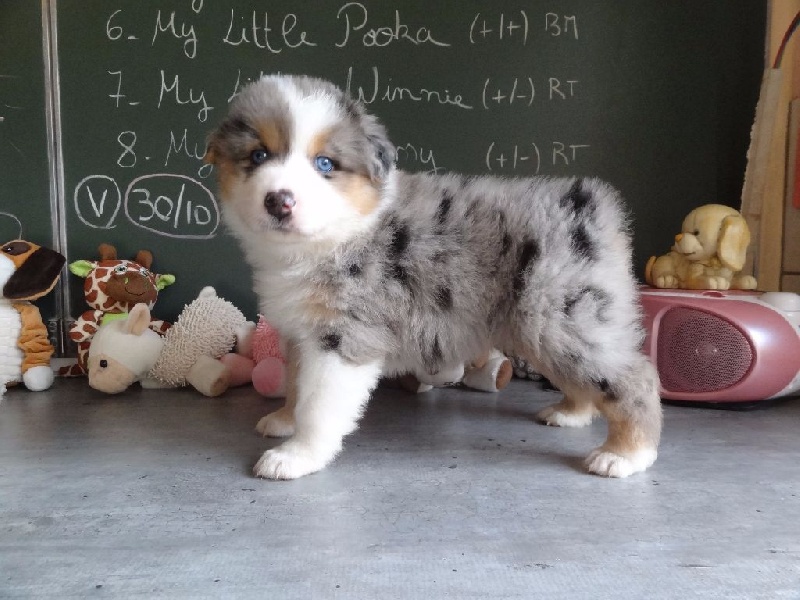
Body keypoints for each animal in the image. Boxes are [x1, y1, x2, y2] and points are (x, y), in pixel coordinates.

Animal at [204, 75, 662, 480]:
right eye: (258, 156)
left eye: (325, 164)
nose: (279, 201)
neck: (328, 238)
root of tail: (594, 203)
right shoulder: (301, 333)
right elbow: (296, 384)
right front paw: (283, 419)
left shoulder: (344, 337)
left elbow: (318, 404)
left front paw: (296, 456)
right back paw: (571, 413)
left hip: (562, 318)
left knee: (632, 376)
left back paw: (625, 454)